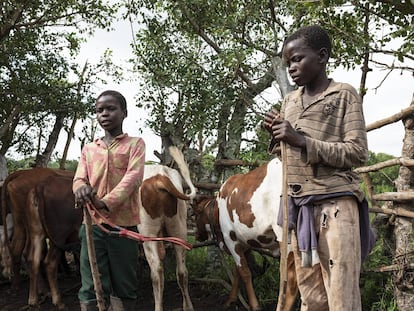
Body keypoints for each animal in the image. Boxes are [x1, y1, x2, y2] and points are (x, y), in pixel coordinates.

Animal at [138, 147, 196, 311]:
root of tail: (160, 178)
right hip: (179, 230)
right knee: (182, 271)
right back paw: (188, 306)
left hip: (148, 234)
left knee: (157, 272)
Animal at [193, 158, 298, 311]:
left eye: (195, 214)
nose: (197, 236)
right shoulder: (244, 242)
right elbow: (237, 270)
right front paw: (231, 299)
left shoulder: (230, 238)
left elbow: (245, 272)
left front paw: (254, 305)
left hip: (286, 237)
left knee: (291, 279)